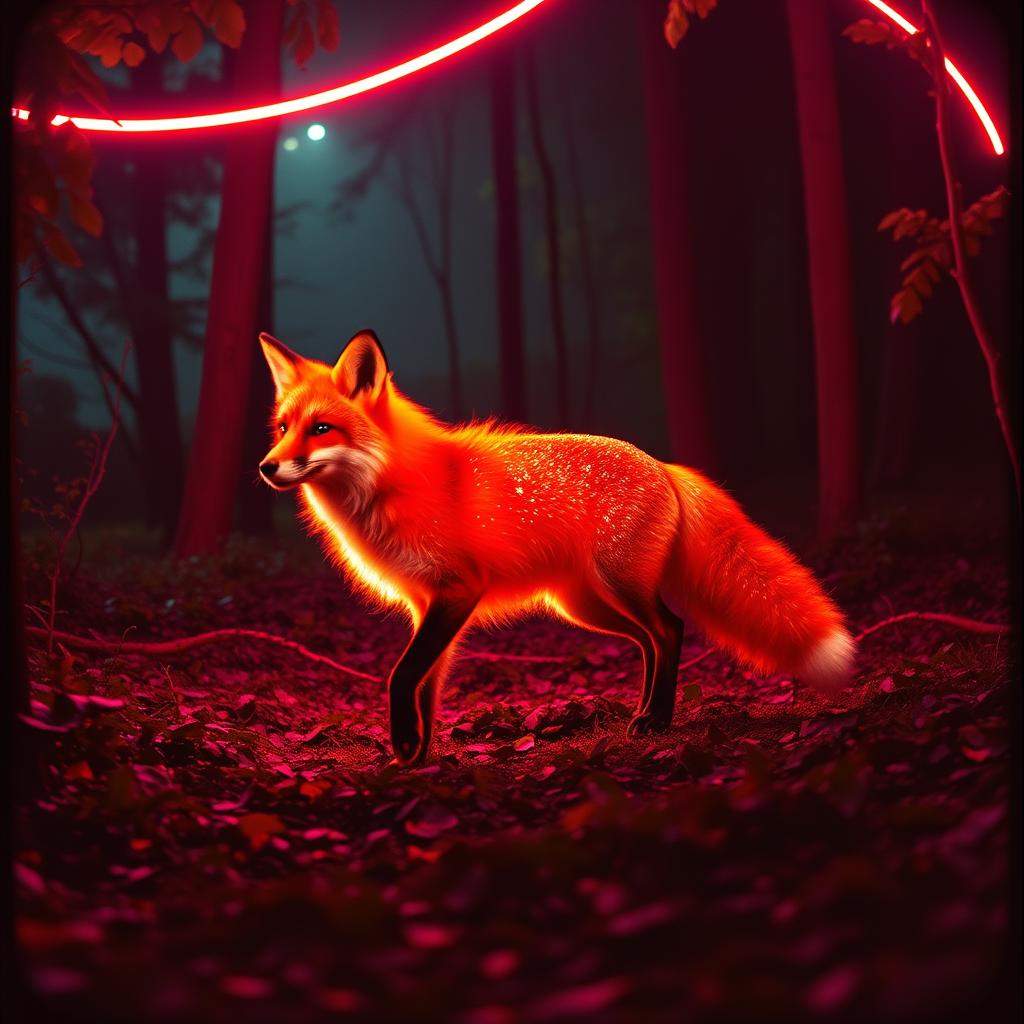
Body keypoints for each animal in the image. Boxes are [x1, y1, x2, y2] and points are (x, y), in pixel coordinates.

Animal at [258, 329, 856, 765]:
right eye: (283, 428)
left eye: (322, 428)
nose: (266, 467)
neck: (392, 484)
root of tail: (663, 465)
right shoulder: (427, 604)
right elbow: (427, 681)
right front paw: (418, 756)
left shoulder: (458, 591)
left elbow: (403, 674)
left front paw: (406, 743)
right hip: (583, 605)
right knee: (650, 640)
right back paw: (643, 713)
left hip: (619, 585)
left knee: (670, 628)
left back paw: (657, 720)